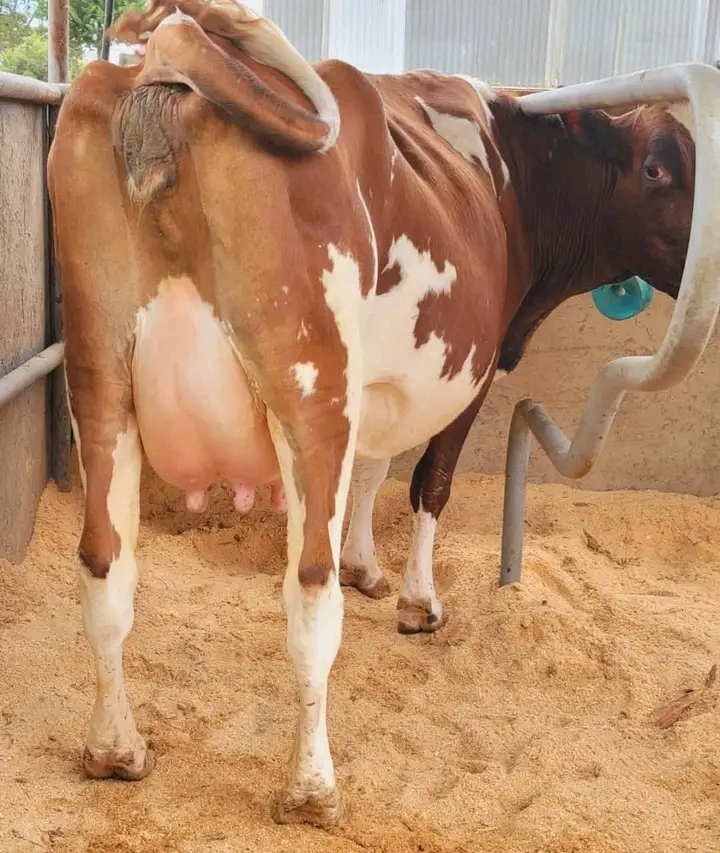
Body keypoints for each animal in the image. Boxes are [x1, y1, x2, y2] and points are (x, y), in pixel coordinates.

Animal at [47, 0, 694, 828]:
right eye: (659, 169)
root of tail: (169, 54)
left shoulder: (381, 380)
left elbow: (376, 465)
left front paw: (367, 564)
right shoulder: (469, 374)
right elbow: (429, 483)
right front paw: (418, 601)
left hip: (100, 381)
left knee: (105, 566)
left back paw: (115, 747)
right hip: (310, 392)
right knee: (308, 594)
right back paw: (313, 787)